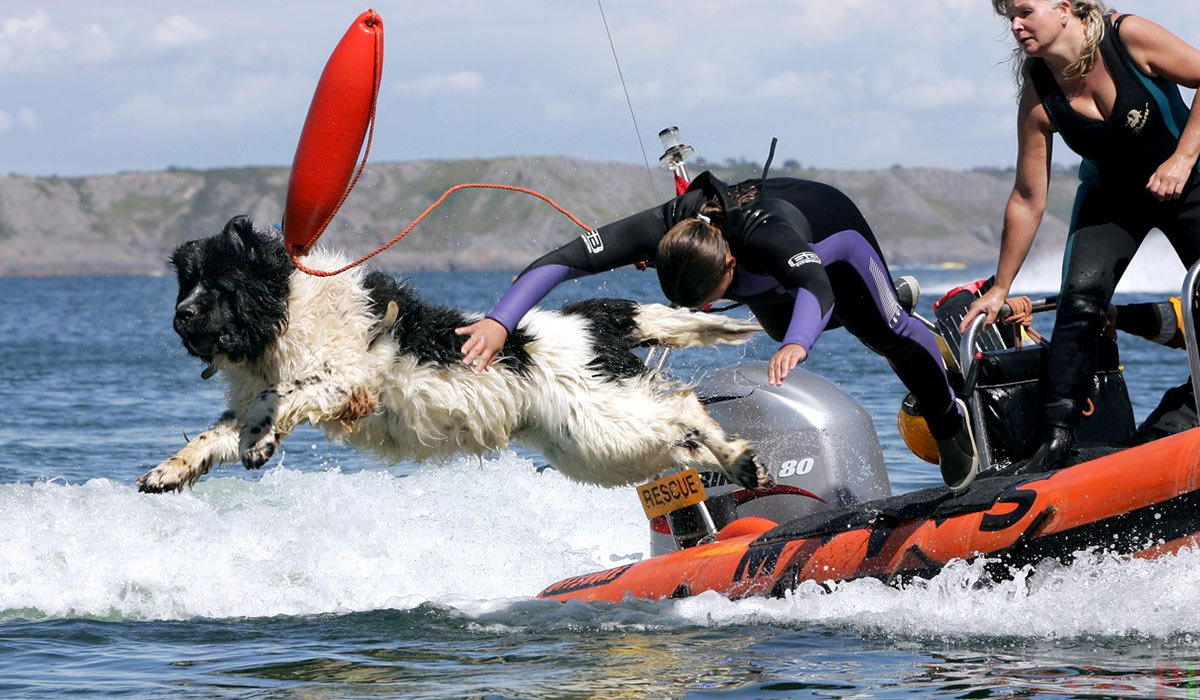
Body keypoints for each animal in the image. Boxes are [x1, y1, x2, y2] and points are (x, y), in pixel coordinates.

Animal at [138, 216, 777, 494]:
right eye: (186, 282)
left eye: (221, 282)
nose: (181, 316)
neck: (287, 309)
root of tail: (598, 319)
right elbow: (218, 431)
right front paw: (169, 471)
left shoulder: (343, 378)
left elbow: (279, 396)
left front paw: (260, 443)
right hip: (595, 447)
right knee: (680, 437)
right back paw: (743, 466)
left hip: (601, 419)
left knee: (685, 407)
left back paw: (742, 458)